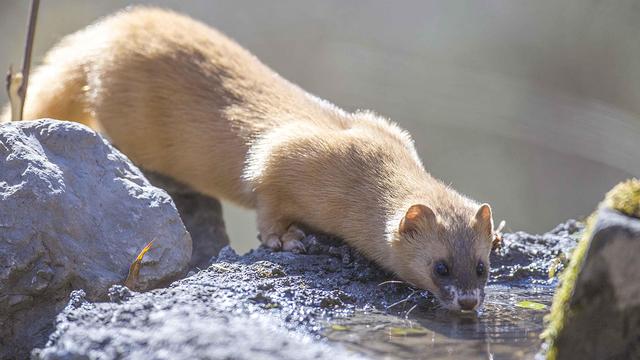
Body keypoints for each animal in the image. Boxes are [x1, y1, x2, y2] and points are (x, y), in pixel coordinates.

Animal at [1, 7, 496, 312]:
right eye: (440, 265)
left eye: (482, 265)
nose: (469, 302)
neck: (368, 161)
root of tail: (103, 33)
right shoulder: (282, 157)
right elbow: (267, 196)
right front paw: (289, 239)